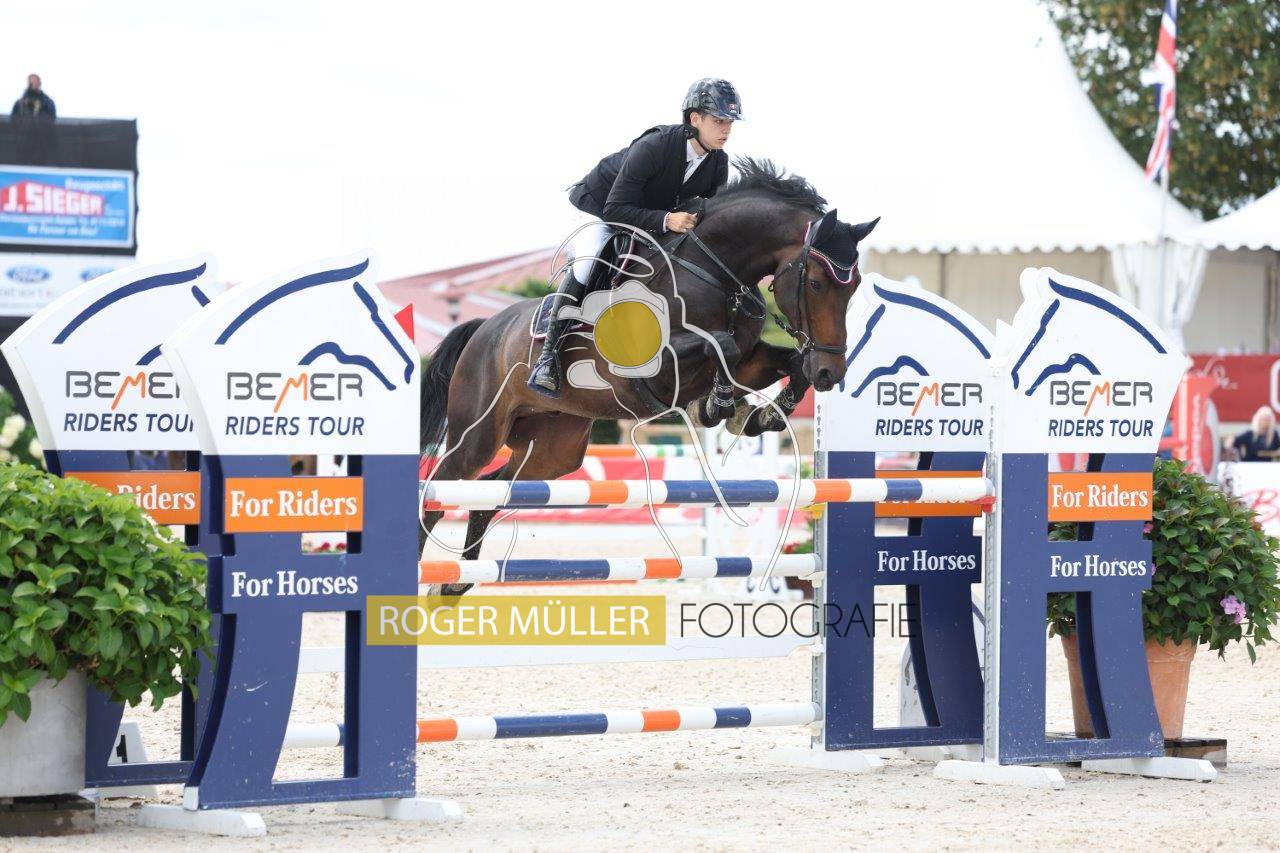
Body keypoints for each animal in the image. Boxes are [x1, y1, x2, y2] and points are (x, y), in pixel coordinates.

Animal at [418, 158, 879, 586]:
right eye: (817, 283)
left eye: (854, 286)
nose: (830, 371)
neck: (714, 273)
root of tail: (484, 329)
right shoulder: (654, 369)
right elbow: (720, 346)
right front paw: (719, 406)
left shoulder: (751, 358)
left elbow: (783, 363)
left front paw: (758, 413)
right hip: (477, 435)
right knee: (437, 494)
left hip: (553, 449)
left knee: (490, 491)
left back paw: (455, 586)